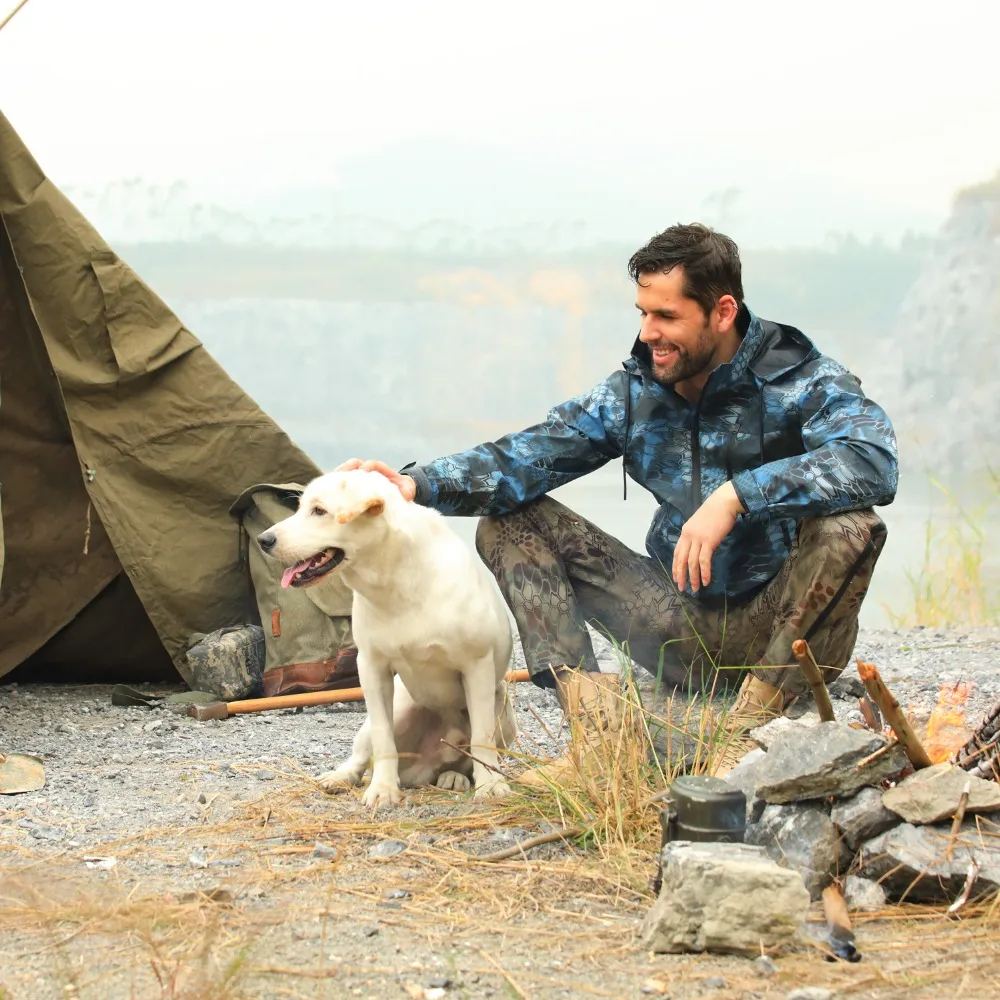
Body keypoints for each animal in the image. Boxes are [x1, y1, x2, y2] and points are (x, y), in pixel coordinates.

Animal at [258, 464, 516, 808]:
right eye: (301, 508)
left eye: (319, 511)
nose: (264, 539)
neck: (394, 580)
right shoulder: (372, 668)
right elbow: (384, 741)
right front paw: (382, 789)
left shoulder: (478, 668)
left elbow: (481, 738)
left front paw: (490, 785)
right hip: (399, 708)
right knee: (361, 756)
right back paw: (340, 777)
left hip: (505, 710)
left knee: (468, 754)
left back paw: (456, 777)